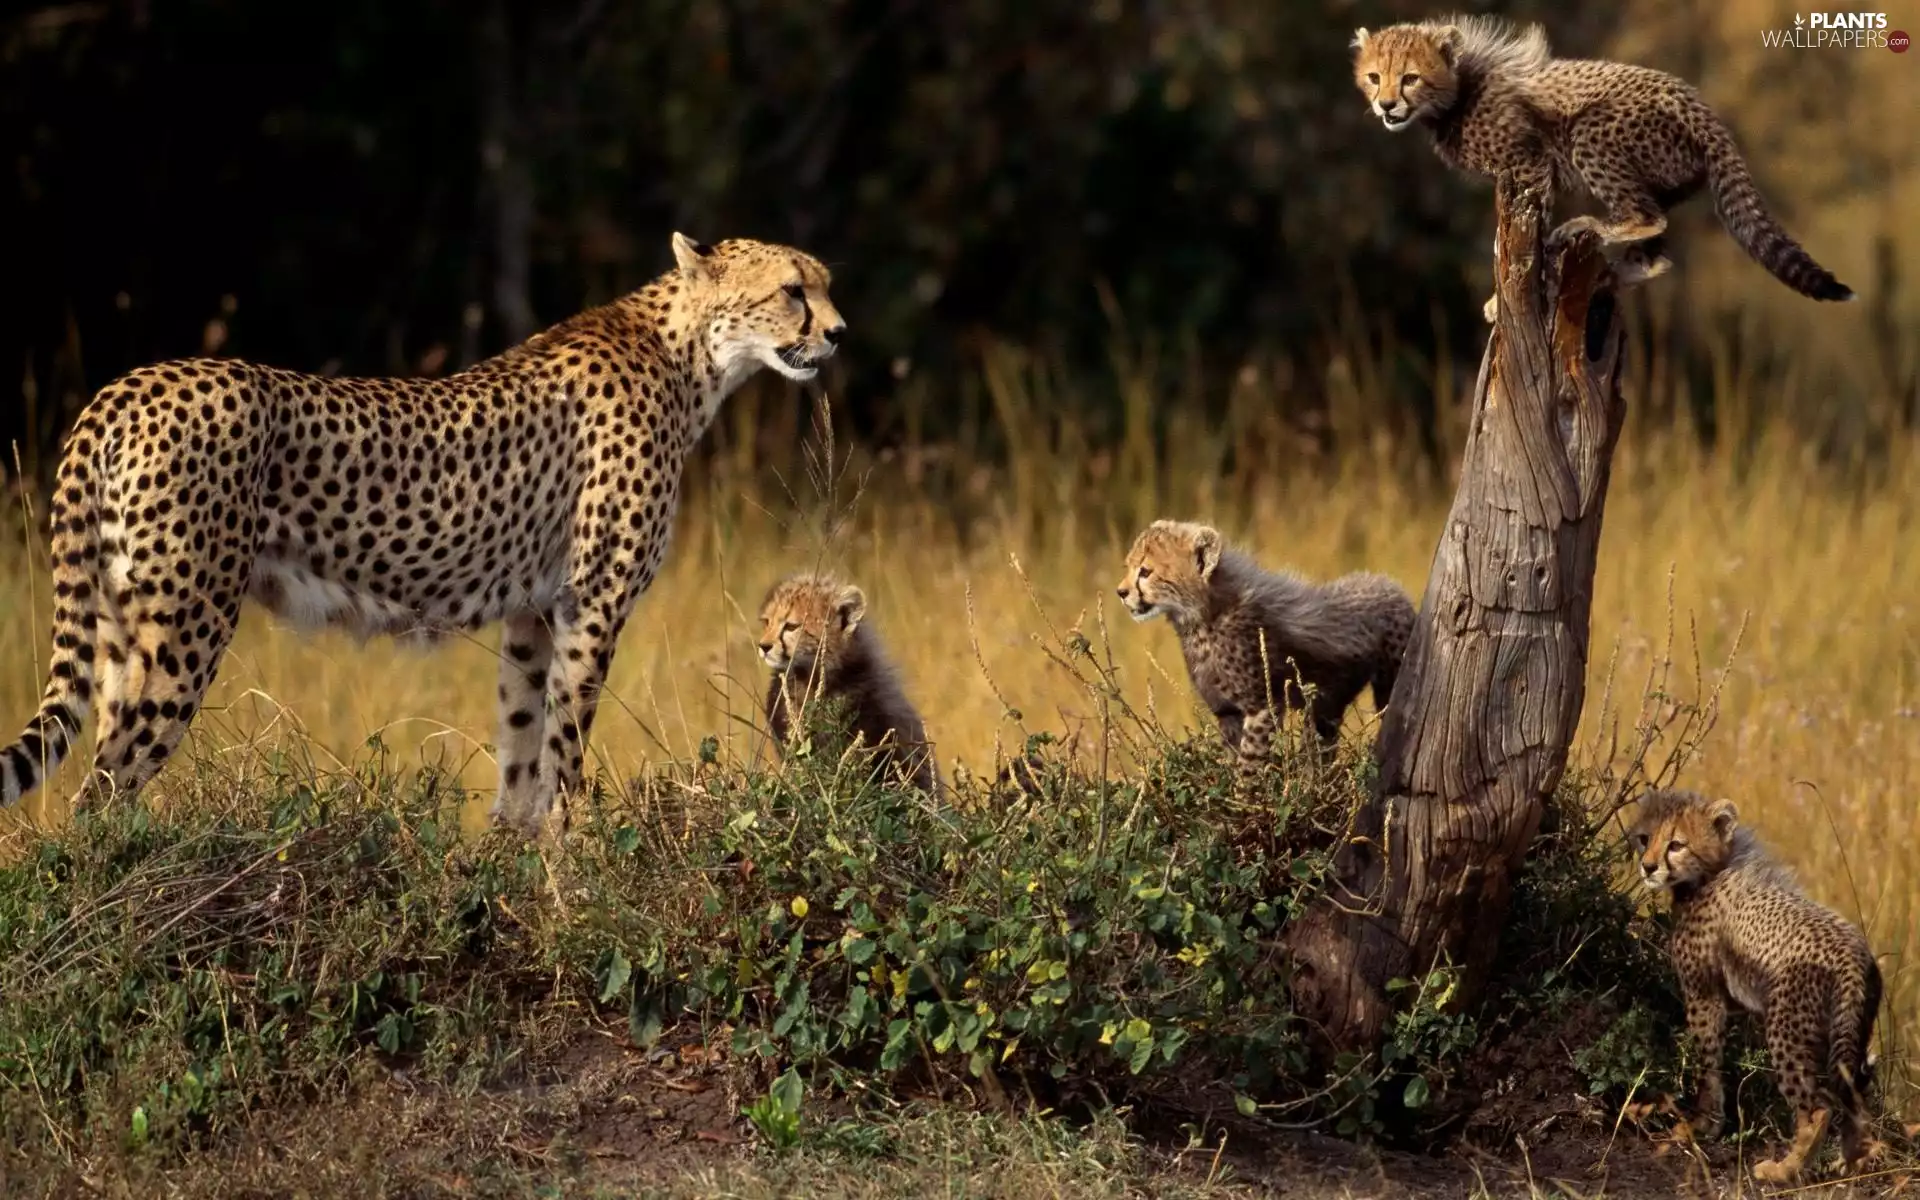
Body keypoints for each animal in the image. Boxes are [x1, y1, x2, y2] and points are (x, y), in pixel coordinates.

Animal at [1, 233, 846, 836]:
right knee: (101, 791)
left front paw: (515, 858)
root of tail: (125, 386)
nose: (838, 334)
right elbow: (566, 748)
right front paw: (573, 863)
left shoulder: (534, 614)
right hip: (186, 628)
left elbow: (522, 743)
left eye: (825, 284)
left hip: (123, 628)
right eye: (791, 291)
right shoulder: (593, 605)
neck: (690, 355)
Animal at [1114, 520, 1414, 763]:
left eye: (1145, 572)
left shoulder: (1262, 707)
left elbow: (1249, 764)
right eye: (1129, 568)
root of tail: (1390, 583)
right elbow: (1232, 760)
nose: (1121, 592)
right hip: (1329, 704)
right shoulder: (1227, 712)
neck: (1204, 617)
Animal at [1351, 14, 1854, 322]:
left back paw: (1588, 228)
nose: (1386, 105)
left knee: (1648, 217)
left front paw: (1501, 297)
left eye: (1410, 77)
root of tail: (1700, 106)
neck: (1459, 90)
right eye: (1374, 77)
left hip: (1590, 132)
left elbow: (1530, 235)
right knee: (1659, 247)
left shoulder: (1530, 162)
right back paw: (1625, 269)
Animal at [1630, 788, 1884, 1184]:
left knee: (1817, 1107)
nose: (1649, 866)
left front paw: (1701, 1125)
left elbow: (1707, 1064)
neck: (1710, 872)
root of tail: (1855, 957)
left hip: (1786, 1031)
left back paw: (1784, 1169)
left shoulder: (1704, 998)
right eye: (1644, 838)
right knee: (1854, 1094)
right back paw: (1849, 1161)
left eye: (1676, 844)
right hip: (1849, 1030)